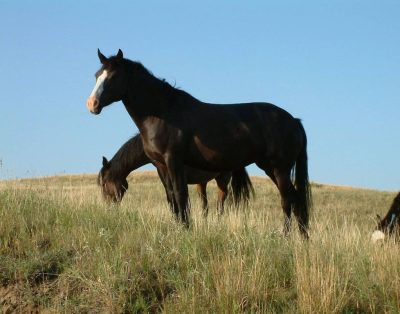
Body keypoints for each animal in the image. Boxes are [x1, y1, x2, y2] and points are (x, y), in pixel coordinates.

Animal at [97, 132, 253, 216]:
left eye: (104, 184)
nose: (107, 208)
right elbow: (171, 200)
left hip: (222, 178)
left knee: (220, 204)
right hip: (201, 183)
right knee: (205, 205)